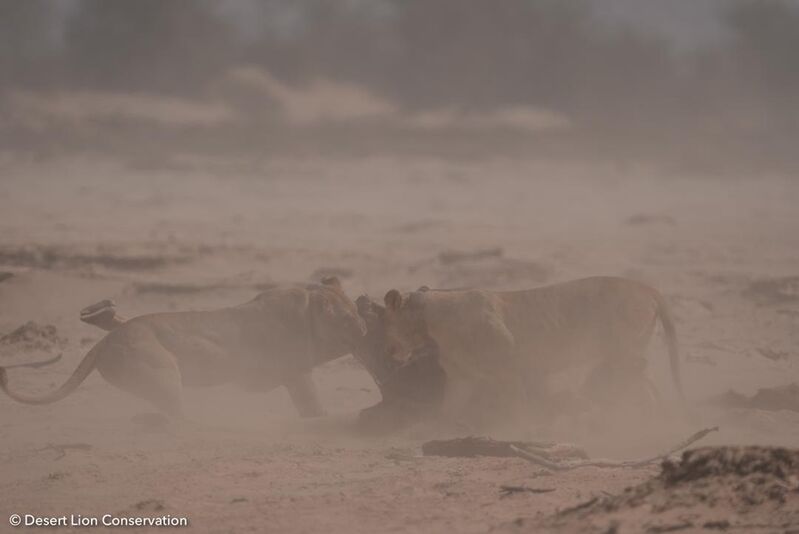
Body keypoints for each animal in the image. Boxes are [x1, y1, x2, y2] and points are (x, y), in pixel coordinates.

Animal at [0, 278, 366, 420]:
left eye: (356, 311)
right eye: (348, 318)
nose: (365, 330)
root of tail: (103, 343)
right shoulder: (296, 372)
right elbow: (310, 401)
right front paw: (322, 417)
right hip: (162, 372)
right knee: (176, 415)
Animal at [380, 278, 680, 430]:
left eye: (387, 321)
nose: (390, 351)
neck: (433, 324)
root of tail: (645, 286)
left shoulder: (508, 369)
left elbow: (518, 406)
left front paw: (519, 430)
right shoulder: (462, 378)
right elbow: (447, 410)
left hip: (622, 350)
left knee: (638, 382)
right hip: (624, 353)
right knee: (641, 382)